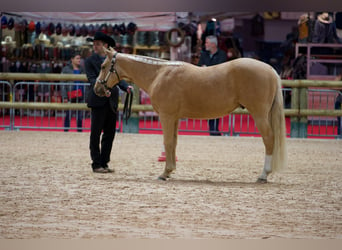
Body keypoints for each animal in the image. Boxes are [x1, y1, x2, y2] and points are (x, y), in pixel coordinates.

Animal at [93, 47, 286, 184]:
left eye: (103, 66)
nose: (97, 89)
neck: (159, 74)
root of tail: (270, 69)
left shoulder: (166, 116)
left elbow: (167, 142)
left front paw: (164, 173)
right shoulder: (175, 118)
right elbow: (173, 143)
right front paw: (170, 170)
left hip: (259, 115)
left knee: (269, 139)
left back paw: (263, 175)